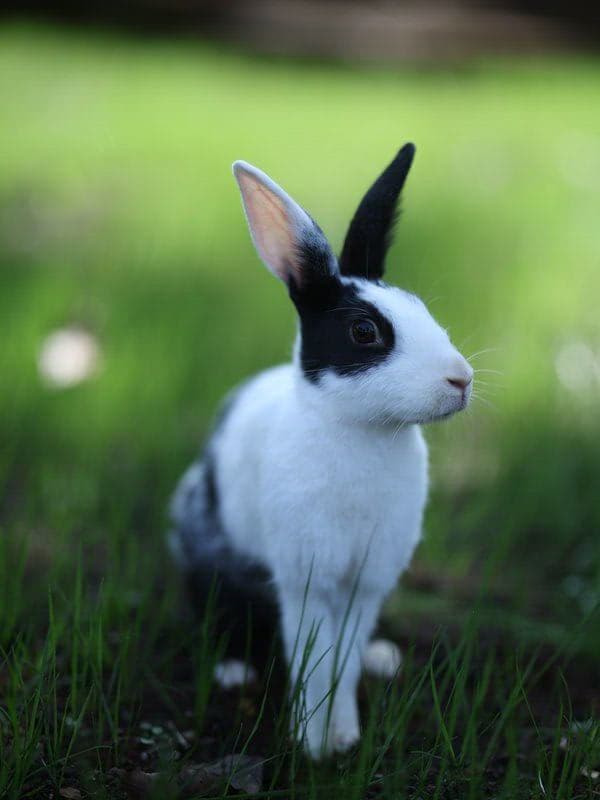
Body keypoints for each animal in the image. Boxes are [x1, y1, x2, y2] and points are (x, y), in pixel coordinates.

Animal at [168, 143, 473, 758]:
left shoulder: (367, 580)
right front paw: (311, 744)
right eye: (365, 332)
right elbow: (315, 659)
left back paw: (384, 659)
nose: (461, 380)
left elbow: (345, 659)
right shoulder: (306, 576)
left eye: (423, 308)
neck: (362, 429)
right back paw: (233, 670)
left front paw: (344, 735)